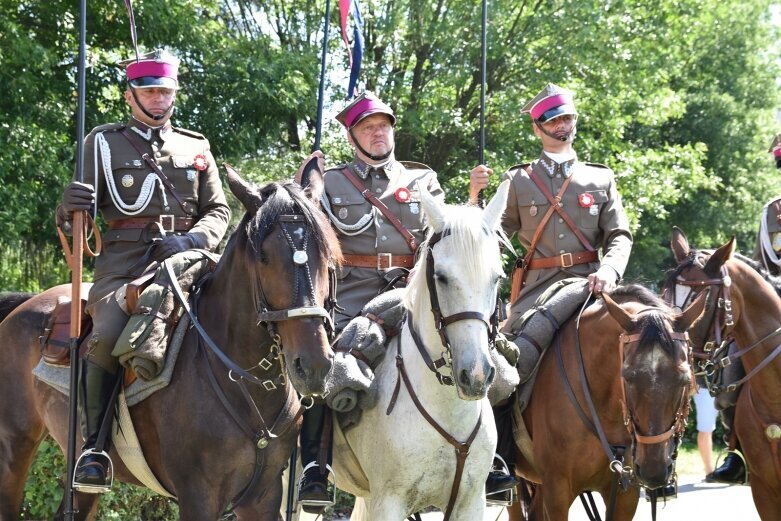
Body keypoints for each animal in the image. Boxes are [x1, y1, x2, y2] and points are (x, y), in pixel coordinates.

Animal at [0, 168, 342, 520]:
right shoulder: (198, 496)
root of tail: (24, 305)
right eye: (264, 257)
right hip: (15, 445)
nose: (314, 365)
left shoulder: (263, 497)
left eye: (327, 256)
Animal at [330, 180, 508, 520]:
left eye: (497, 278)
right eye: (442, 277)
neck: (448, 410)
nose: (476, 375)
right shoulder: (388, 503)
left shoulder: (471, 503)